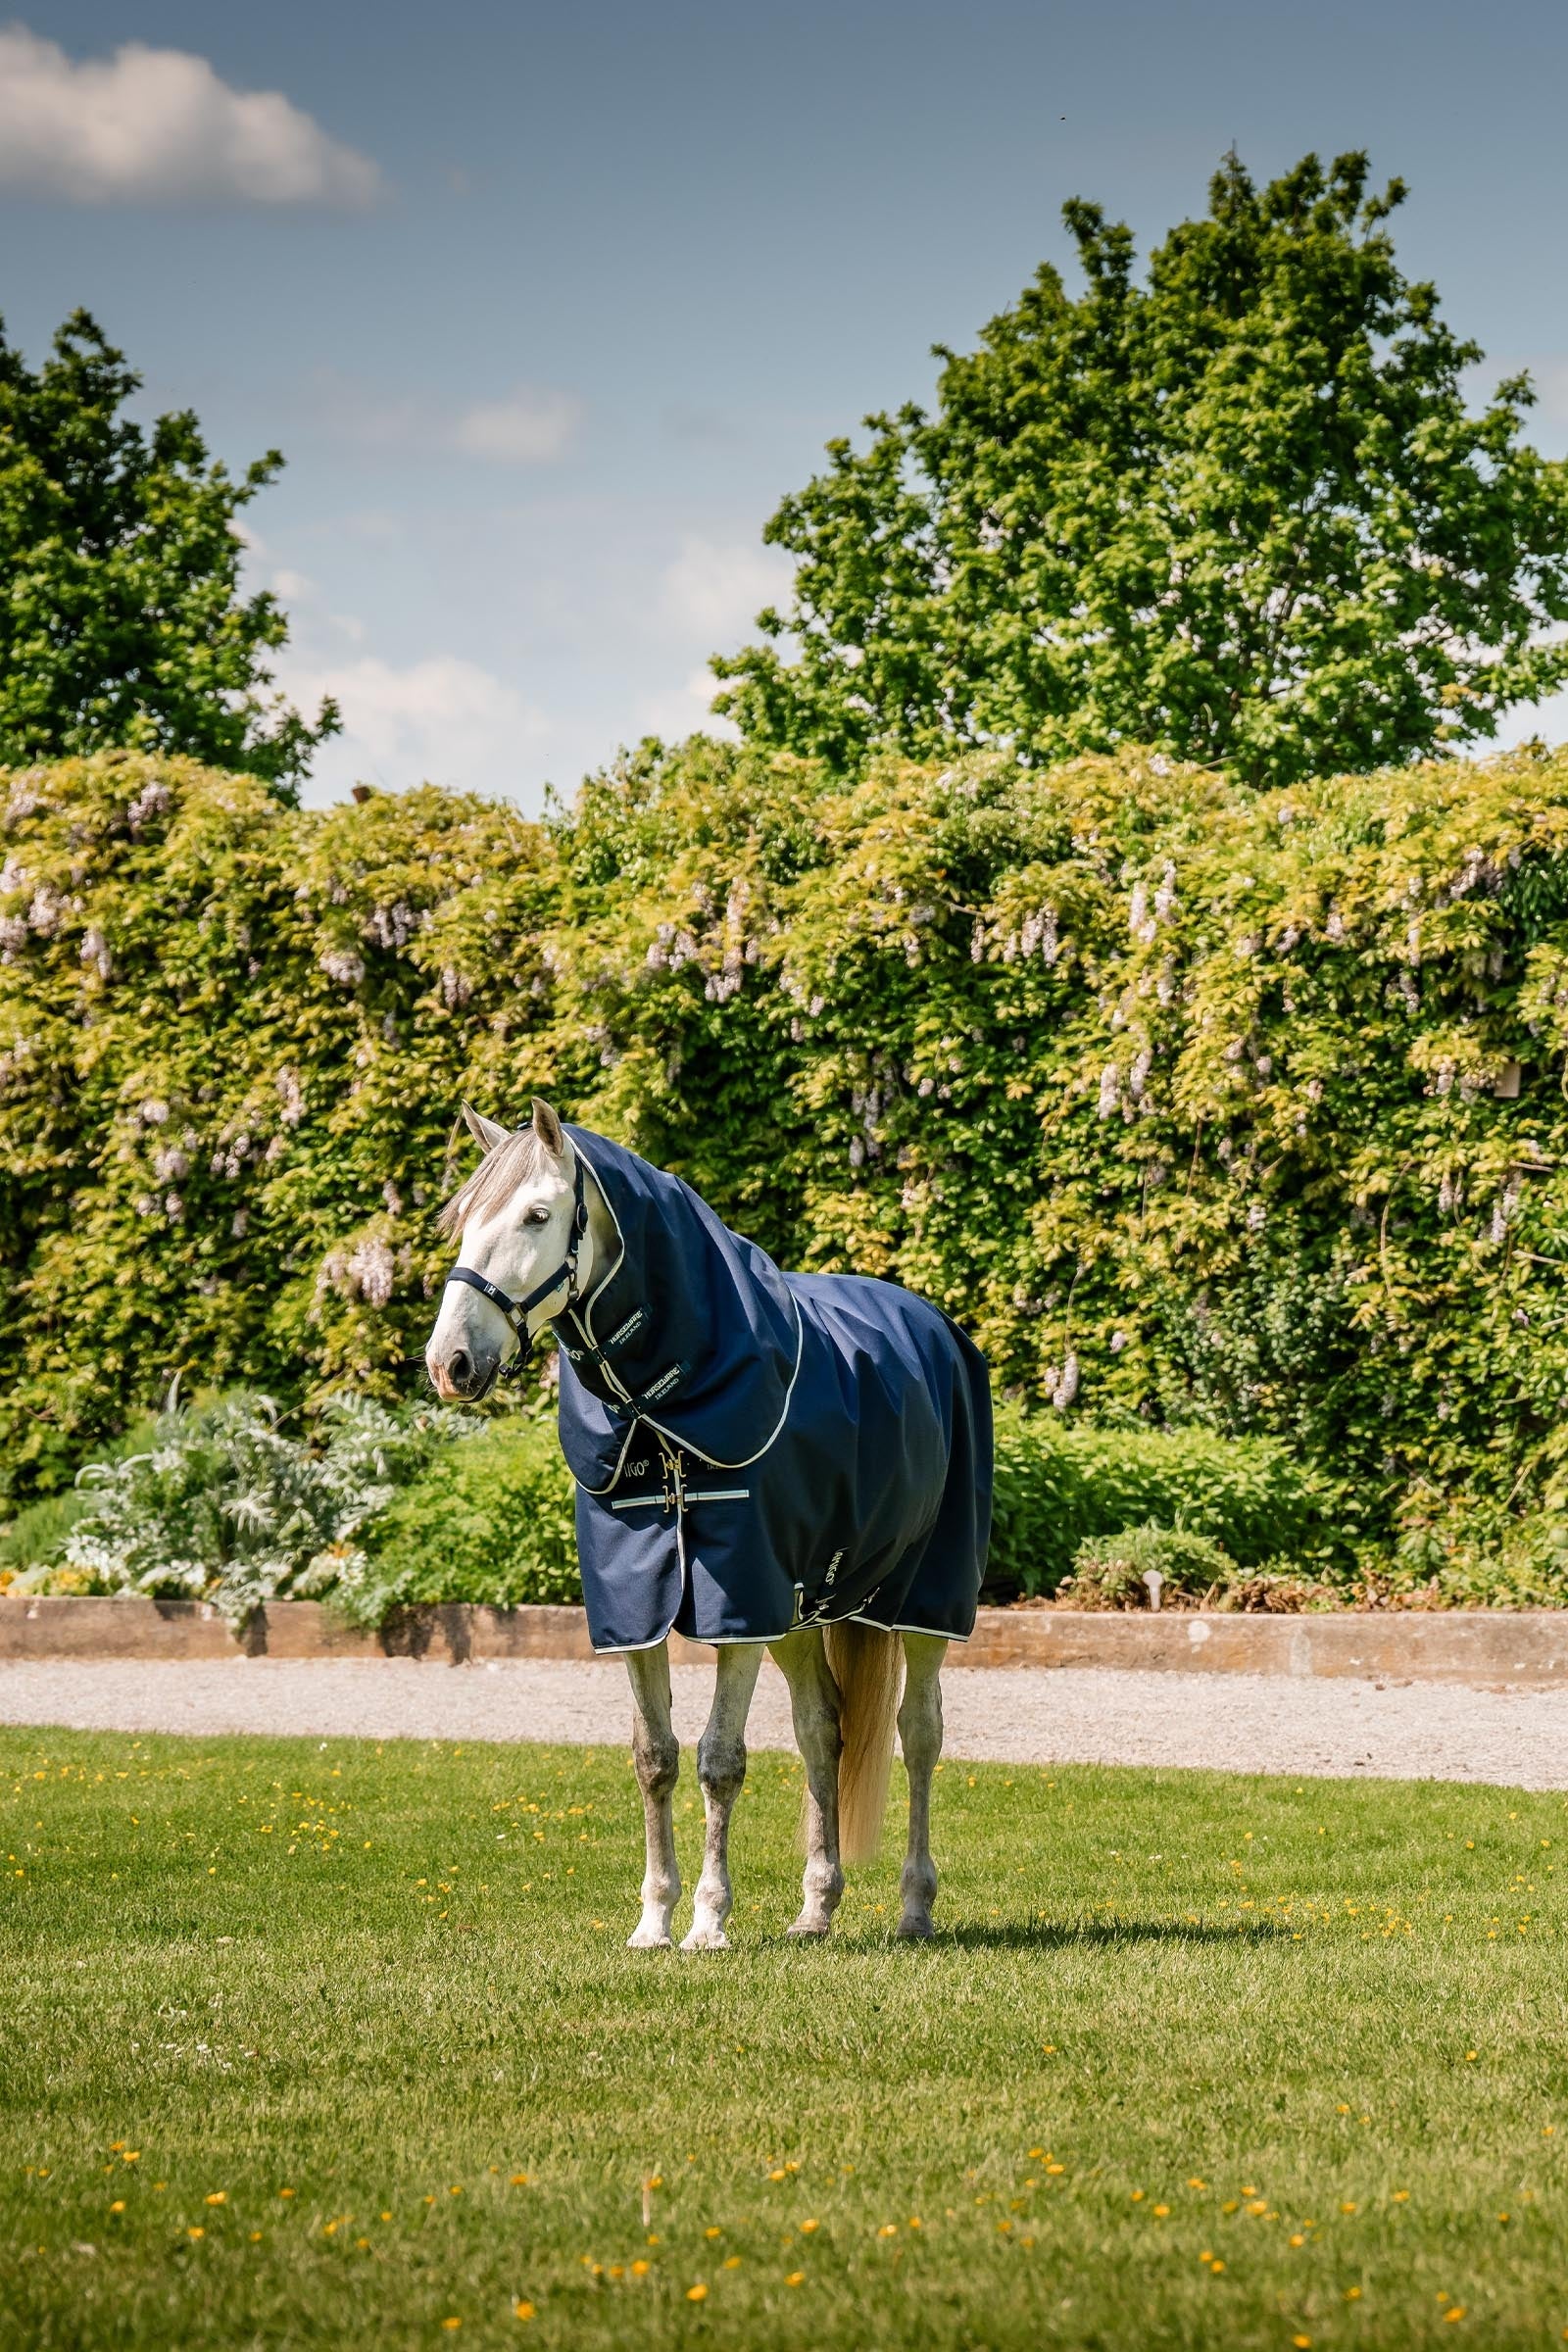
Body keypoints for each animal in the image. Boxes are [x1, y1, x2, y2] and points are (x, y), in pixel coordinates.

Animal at [424, 1099, 993, 1950]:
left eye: (536, 1215)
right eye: (463, 1221)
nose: (450, 1361)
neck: (662, 1414)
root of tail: (934, 1328)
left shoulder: (740, 1611)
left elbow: (719, 1760)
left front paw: (707, 1921)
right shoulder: (639, 1607)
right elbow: (654, 1757)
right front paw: (653, 1919)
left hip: (922, 1599)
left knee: (919, 1733)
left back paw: (915, 1906)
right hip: (801, 1610)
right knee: (823, 1729)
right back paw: (816, 1908)